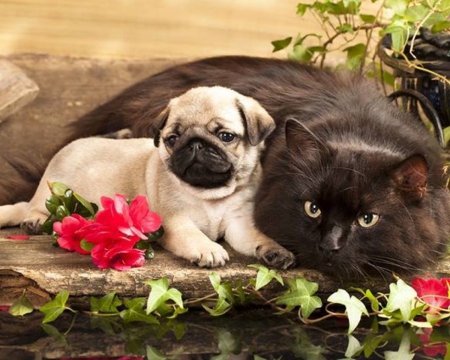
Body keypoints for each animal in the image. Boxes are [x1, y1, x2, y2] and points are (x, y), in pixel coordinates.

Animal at [0, 86, 296, 268]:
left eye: (225, 136)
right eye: (172, 139)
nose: (195, 144)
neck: (210, 194)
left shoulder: (239, 224)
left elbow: (257, 238)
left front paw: (275, 251)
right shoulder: (176, 222)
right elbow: (193, 236)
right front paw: (209, 249)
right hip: (51, 188)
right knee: (30, 206)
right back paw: (35, 220)